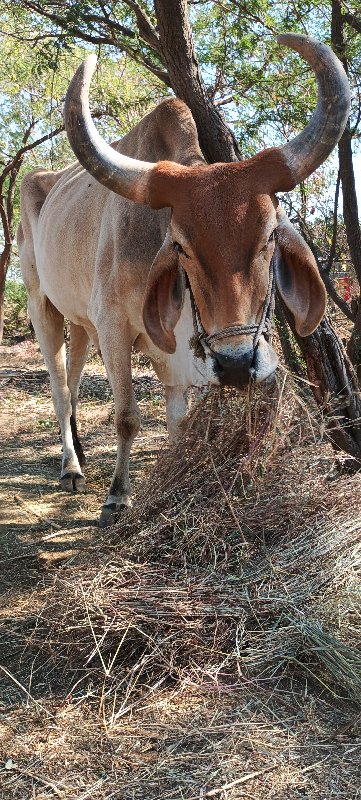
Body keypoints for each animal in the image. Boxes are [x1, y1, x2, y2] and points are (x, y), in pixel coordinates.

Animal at [17, 34, 348, 528]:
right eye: (179, 245)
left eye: (271, 234)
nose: (237, 364)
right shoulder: (114, 328)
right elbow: (127, 417)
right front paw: (117, 497)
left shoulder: (176, 350)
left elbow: (178, 422)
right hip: (43, 306)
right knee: (59, 388)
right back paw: (71, 468)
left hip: (79, 322)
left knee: (73, 382)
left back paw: (79, 453)